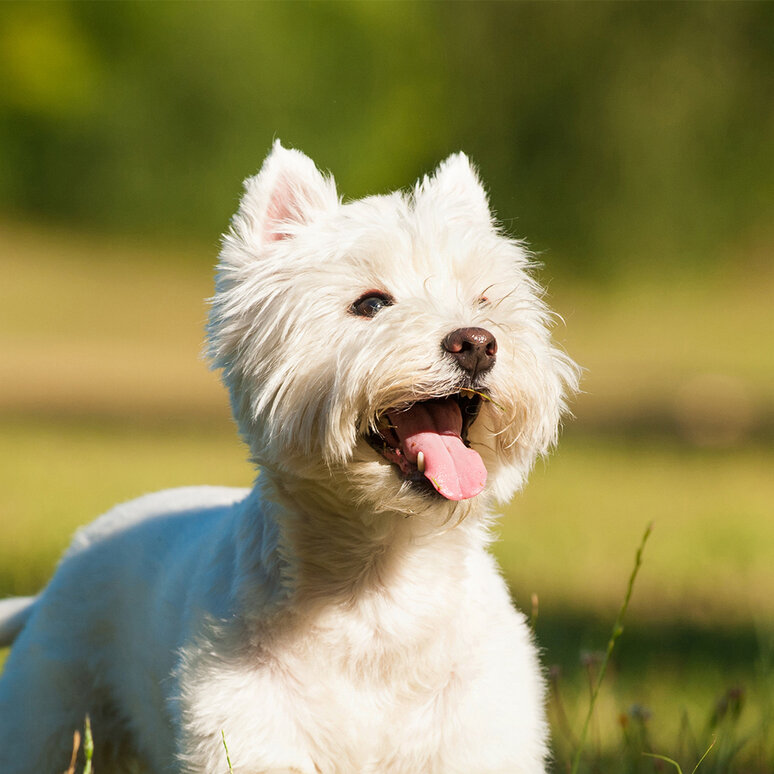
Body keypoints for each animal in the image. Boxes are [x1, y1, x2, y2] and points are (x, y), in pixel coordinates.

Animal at [0, 142, 576, 772]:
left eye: (485, 299)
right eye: (370, 303)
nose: (476, 342)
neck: (379, 587)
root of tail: (57, 577)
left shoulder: (477, 737)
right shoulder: (251, 732)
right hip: (49, 722)